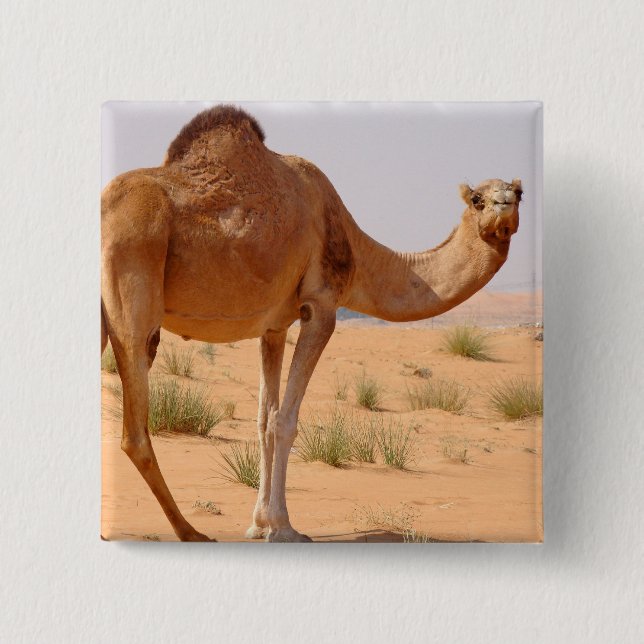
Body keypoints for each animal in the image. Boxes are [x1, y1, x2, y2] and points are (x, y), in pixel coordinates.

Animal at [101, 105, 522, 542]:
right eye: (478, 199)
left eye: (519, 193)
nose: (504, 204)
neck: (355, 249)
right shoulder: (321, 305)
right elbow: (284, 421)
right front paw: (283, 527)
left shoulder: (273, 326)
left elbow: (263, 419)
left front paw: (258, 524)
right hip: (135, 276)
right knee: (135, 430)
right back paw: (190, 531)